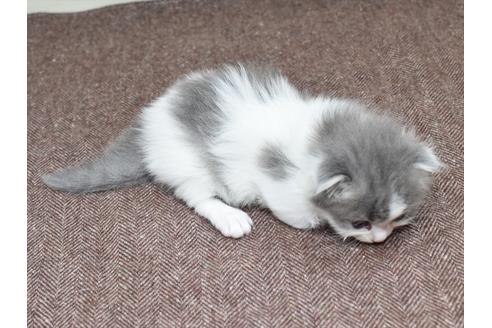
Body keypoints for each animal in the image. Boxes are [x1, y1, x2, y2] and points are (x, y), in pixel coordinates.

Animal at [43, 62, 442, 242]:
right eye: (361, 223)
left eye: (395, 217)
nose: (380, 238)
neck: (324, 137)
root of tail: (151, 121)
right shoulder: (277, 180)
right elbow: (295, 211)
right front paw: (314, 220)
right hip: (189, 163)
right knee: (196, 196)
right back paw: (230, 217)